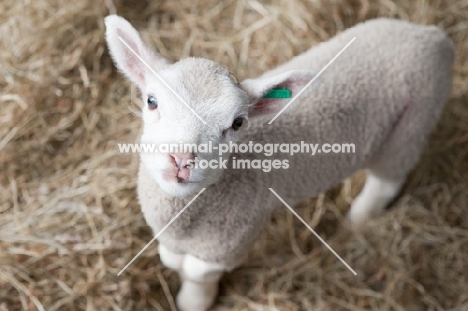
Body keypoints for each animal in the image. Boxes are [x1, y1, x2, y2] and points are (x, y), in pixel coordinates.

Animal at [105, 15, 454, 311]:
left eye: (238, 124)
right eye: (151, 101)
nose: (182, 159)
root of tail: (433, 35)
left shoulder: (232, 238)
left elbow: (197, 273)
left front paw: (193, 302)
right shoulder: (171, 235)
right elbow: (172, 260)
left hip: (412, 125)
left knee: (386, 181)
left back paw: (357, 220)